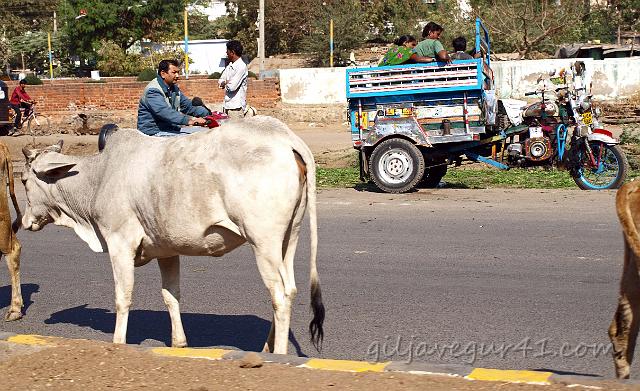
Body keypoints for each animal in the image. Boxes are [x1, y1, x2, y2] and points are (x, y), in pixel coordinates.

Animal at [21, 117, 324, 356]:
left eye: (24, 181)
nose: (24, 221)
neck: (99, 177)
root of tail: (286, 139)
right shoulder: (166, 251)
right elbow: (171, 295)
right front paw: (179, 343)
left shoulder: (120, 244)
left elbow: (123, 297)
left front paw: (118, 343)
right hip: (289, 237)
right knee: (290, 290)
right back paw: (266, 347)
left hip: (263, 243)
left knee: (279, 296)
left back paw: (278, 356)